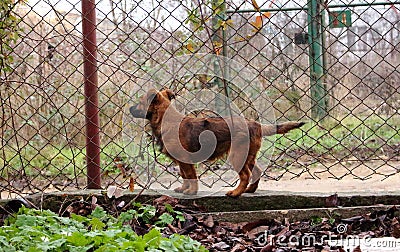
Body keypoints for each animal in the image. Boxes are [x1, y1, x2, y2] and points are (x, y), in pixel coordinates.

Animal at [130, 88, 304, 197]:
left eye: (139, 102)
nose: (129, 108)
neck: (165, 119)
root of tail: (255, 124)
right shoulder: (181, 162)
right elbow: (184, 175)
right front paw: (183, 188)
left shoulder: (185, 160)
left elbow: (190, 175)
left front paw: (191, 191)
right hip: (247, 155)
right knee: (257, 171)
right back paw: (250, 190)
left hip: (236, 156)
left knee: (246, 175)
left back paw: (236, 193)